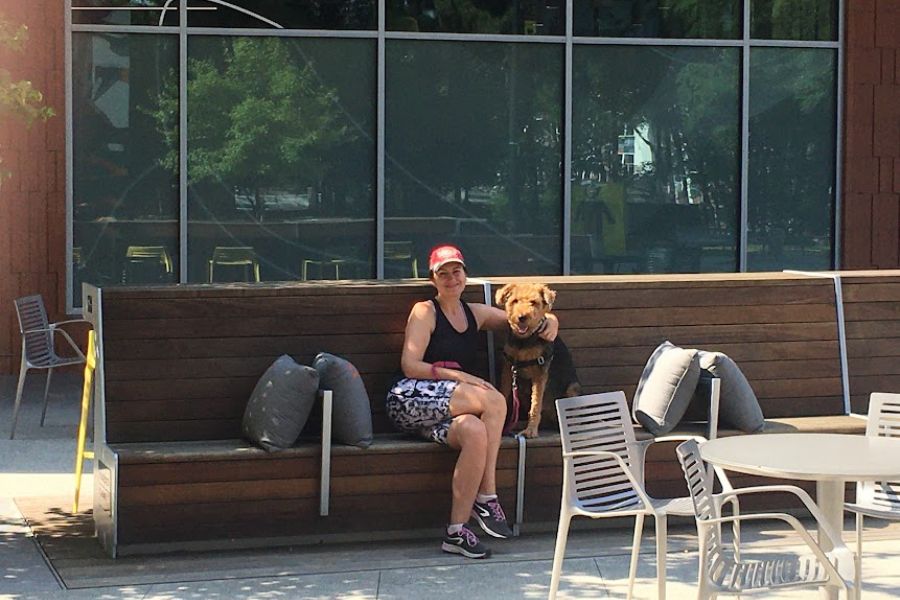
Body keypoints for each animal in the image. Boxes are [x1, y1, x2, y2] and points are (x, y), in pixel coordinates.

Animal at [496, 284, 580, 438]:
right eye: (514, 301)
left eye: (534, 302)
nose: (522, 317)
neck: (523, 342)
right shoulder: (508, 369)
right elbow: (504, 395)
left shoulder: (540, 374)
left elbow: (535, 405)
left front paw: (530, 431)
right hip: (522, 389)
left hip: (572, 388)